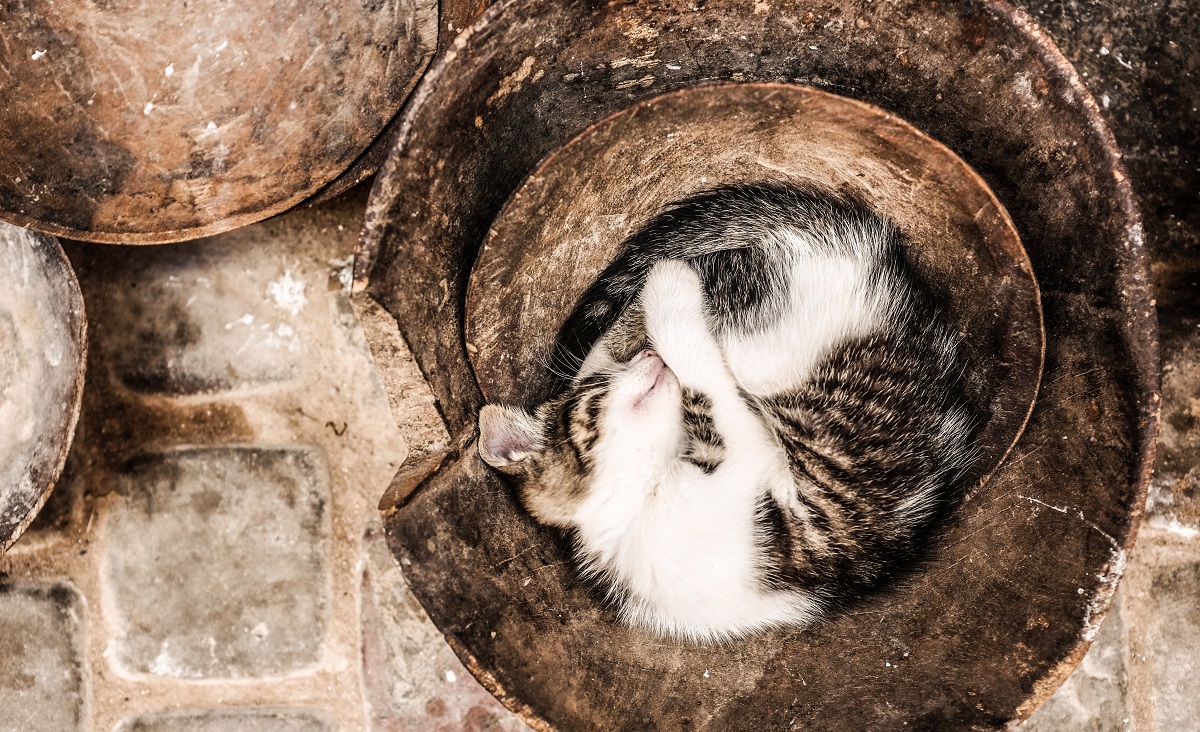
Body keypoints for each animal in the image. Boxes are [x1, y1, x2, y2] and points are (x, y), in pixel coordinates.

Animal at [472, 182, 979, 638]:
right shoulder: (755, 461)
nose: (647, 357)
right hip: (760, 334)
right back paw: (670, 279)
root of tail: (857, 245)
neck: (636, 511)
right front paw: (667, 290)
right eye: (598, 394)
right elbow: (708, 386)